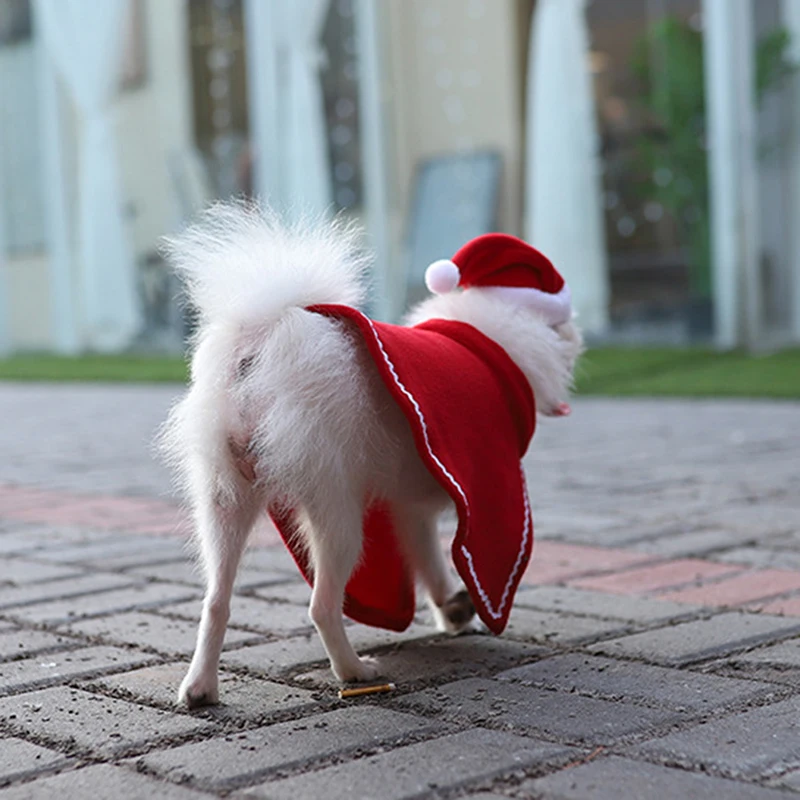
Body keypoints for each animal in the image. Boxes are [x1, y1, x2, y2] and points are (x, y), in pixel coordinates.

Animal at [158, 201, 583, 708]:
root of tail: (262, 343)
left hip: (226, 501)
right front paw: (460, 610)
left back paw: (200, 687)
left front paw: (452, 608)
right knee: (322, 605)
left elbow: (430, 562)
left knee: (215, 600)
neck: (483, 338)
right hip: (336, 513)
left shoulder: (410, 510)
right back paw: (354, 671)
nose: (578, 335)